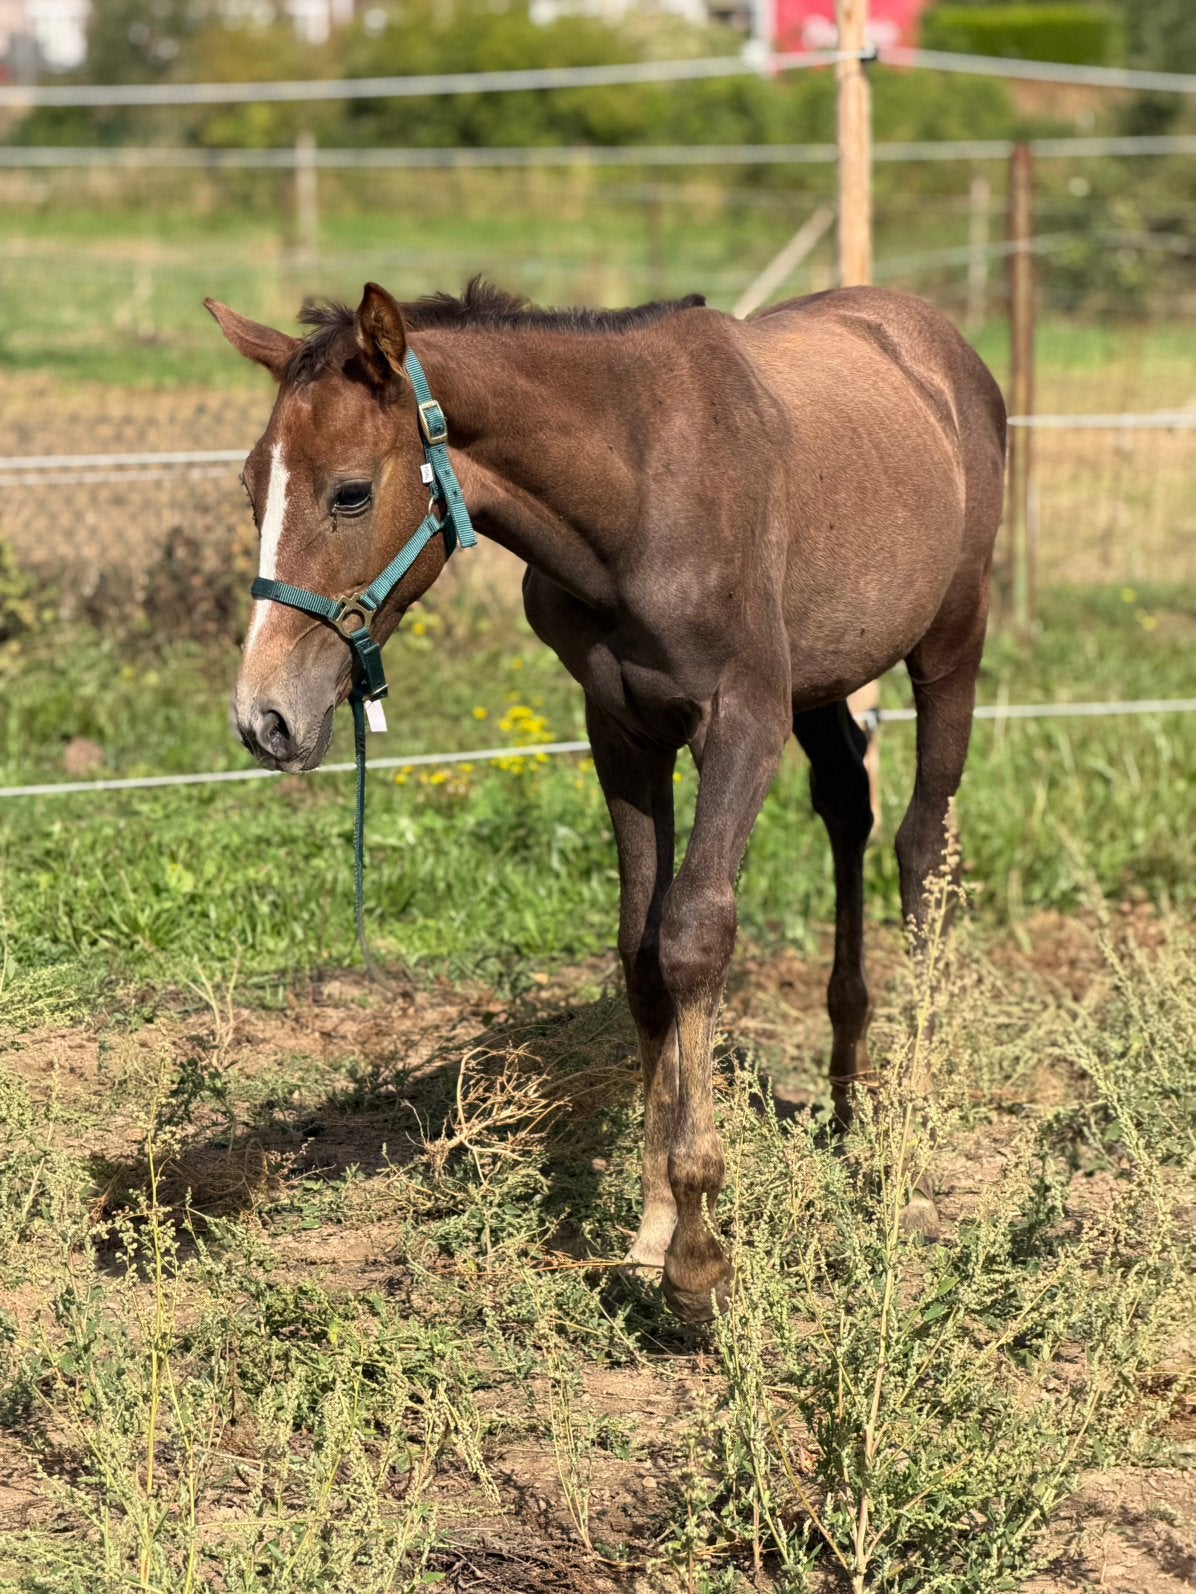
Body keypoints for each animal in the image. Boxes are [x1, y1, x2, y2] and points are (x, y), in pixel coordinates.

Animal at [205, 278, 1006, 1323]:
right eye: (251, 486)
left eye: (349, 492)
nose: (265, 719)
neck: (635, 494)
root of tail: (938, 338)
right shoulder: (622, 730)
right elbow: (640, 949)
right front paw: (653, 1228)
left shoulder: (741, 720)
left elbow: (695, 934)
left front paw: (700, 1253)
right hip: (826, 677)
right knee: (848, 808)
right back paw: (846, 1096)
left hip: (951, 640)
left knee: (922, 847)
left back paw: (910, 1130)